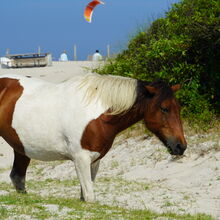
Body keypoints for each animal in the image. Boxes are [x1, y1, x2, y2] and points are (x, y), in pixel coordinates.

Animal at [0, 73, 186, 202]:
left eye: (178, 108)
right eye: (164, 108)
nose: (181, 146)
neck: (98, 115)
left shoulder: (94, 160)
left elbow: (85, 196)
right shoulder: (80, 159)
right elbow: (90, 197)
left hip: (21, 149)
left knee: (17, 177)